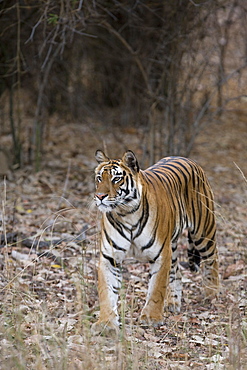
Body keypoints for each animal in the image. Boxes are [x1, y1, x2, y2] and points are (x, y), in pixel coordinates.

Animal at [91, 149, 219, 334]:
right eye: (99, 178)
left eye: (116, 179)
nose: (100, 196)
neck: (126, 213)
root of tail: (186, 159)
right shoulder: (110, 258)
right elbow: (106, 293)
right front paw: (106, 323)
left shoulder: (161, 255)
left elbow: (157, 288)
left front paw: (151, 317)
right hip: (173, 245)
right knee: (177, 272)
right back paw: (173, 302)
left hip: (203, 231)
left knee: (212, 260)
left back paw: (212, 294)